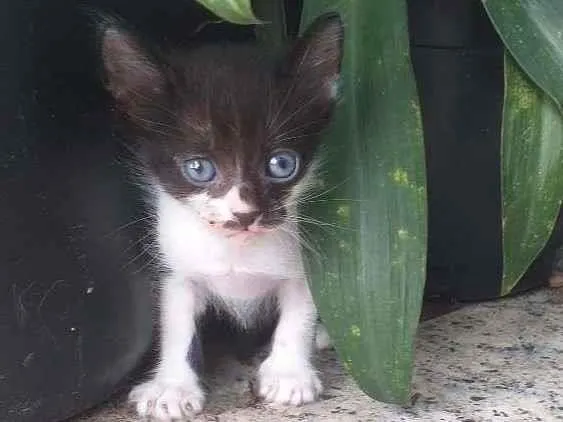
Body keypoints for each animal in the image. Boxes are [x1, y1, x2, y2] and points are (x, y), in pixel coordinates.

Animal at [99, 11, 344, 420]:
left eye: (282, 164)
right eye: (199, 168)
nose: (244, 214)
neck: (235, 250)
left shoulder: (305, 263)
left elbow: (298, 313)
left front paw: (289, 374)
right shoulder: (175, 267)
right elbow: (177, 324)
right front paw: (171, 385)